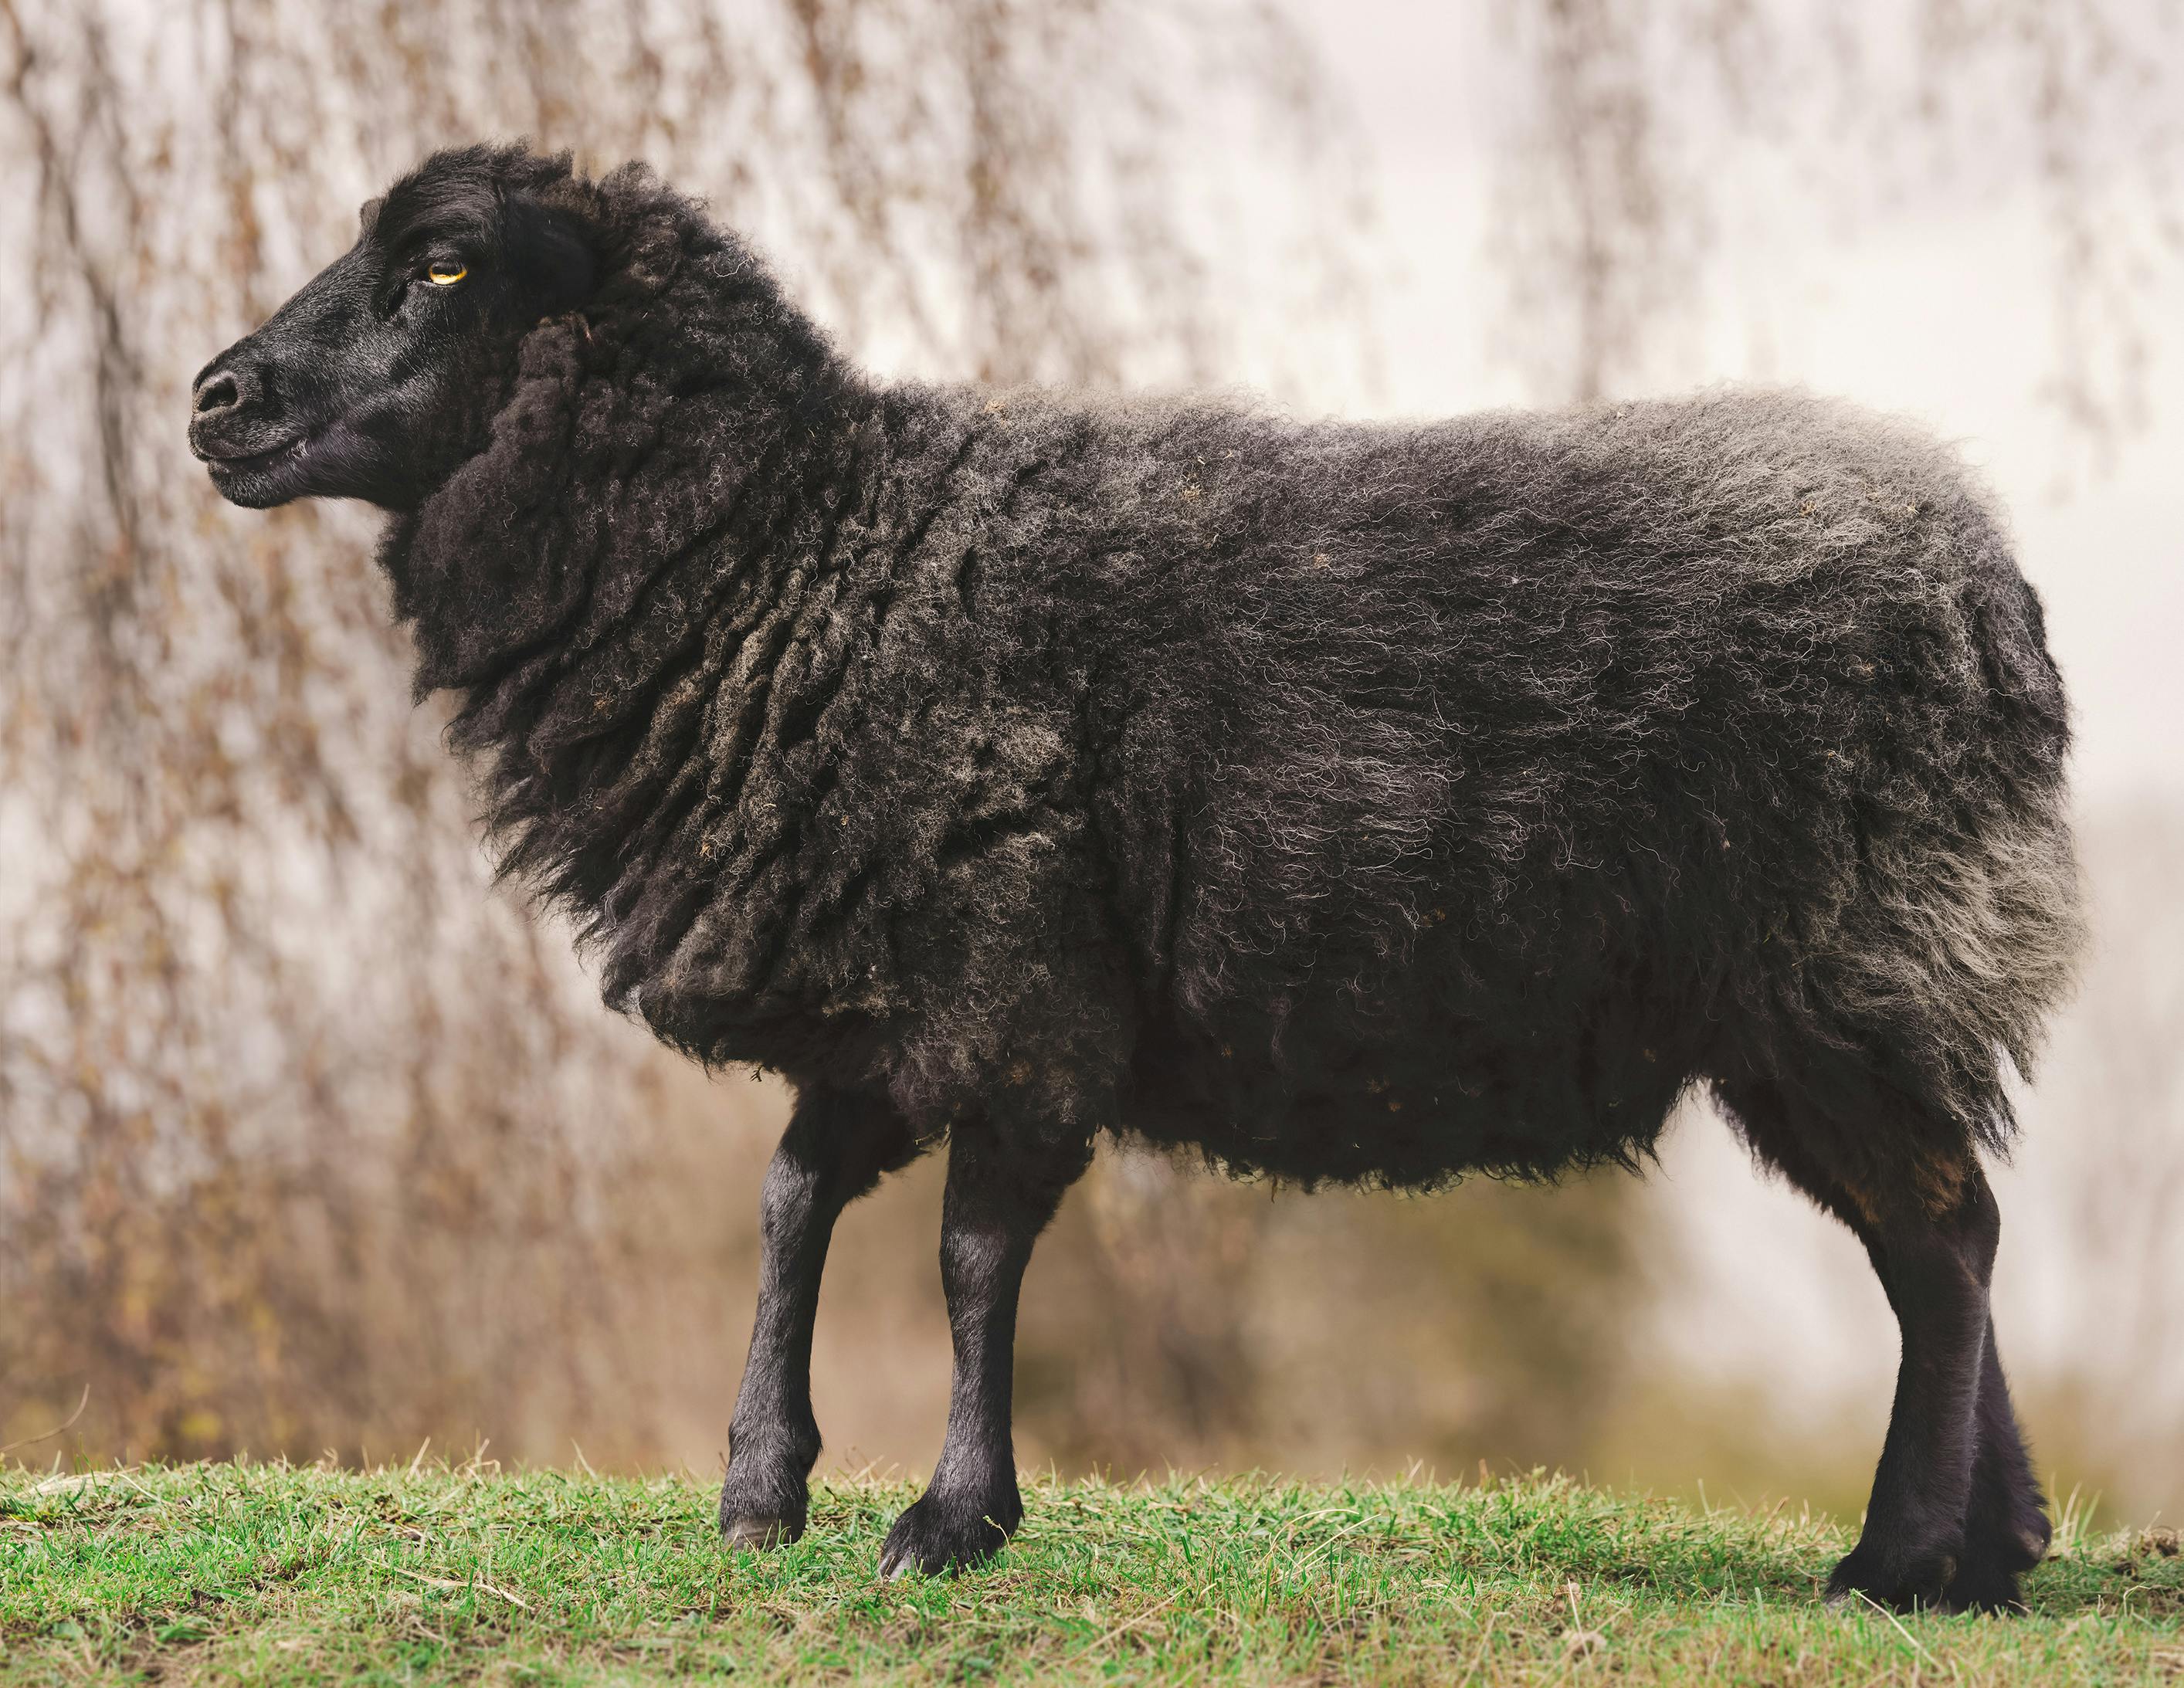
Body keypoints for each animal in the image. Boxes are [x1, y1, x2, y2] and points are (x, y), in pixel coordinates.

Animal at [189, 143, 2083, 1608]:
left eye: (441, 264)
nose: (215, 400)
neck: (803, 557)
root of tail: (1989, 584)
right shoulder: (886, 989)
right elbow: (791, 1204)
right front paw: (759, 1487)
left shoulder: (1017, 979)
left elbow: (968, 1252)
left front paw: (949, 1518)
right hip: (1839, 1005)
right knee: (1953, 1236)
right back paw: (1988, 1552)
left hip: (1849, 975)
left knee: (1940, 1245)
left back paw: (1897, 1561)